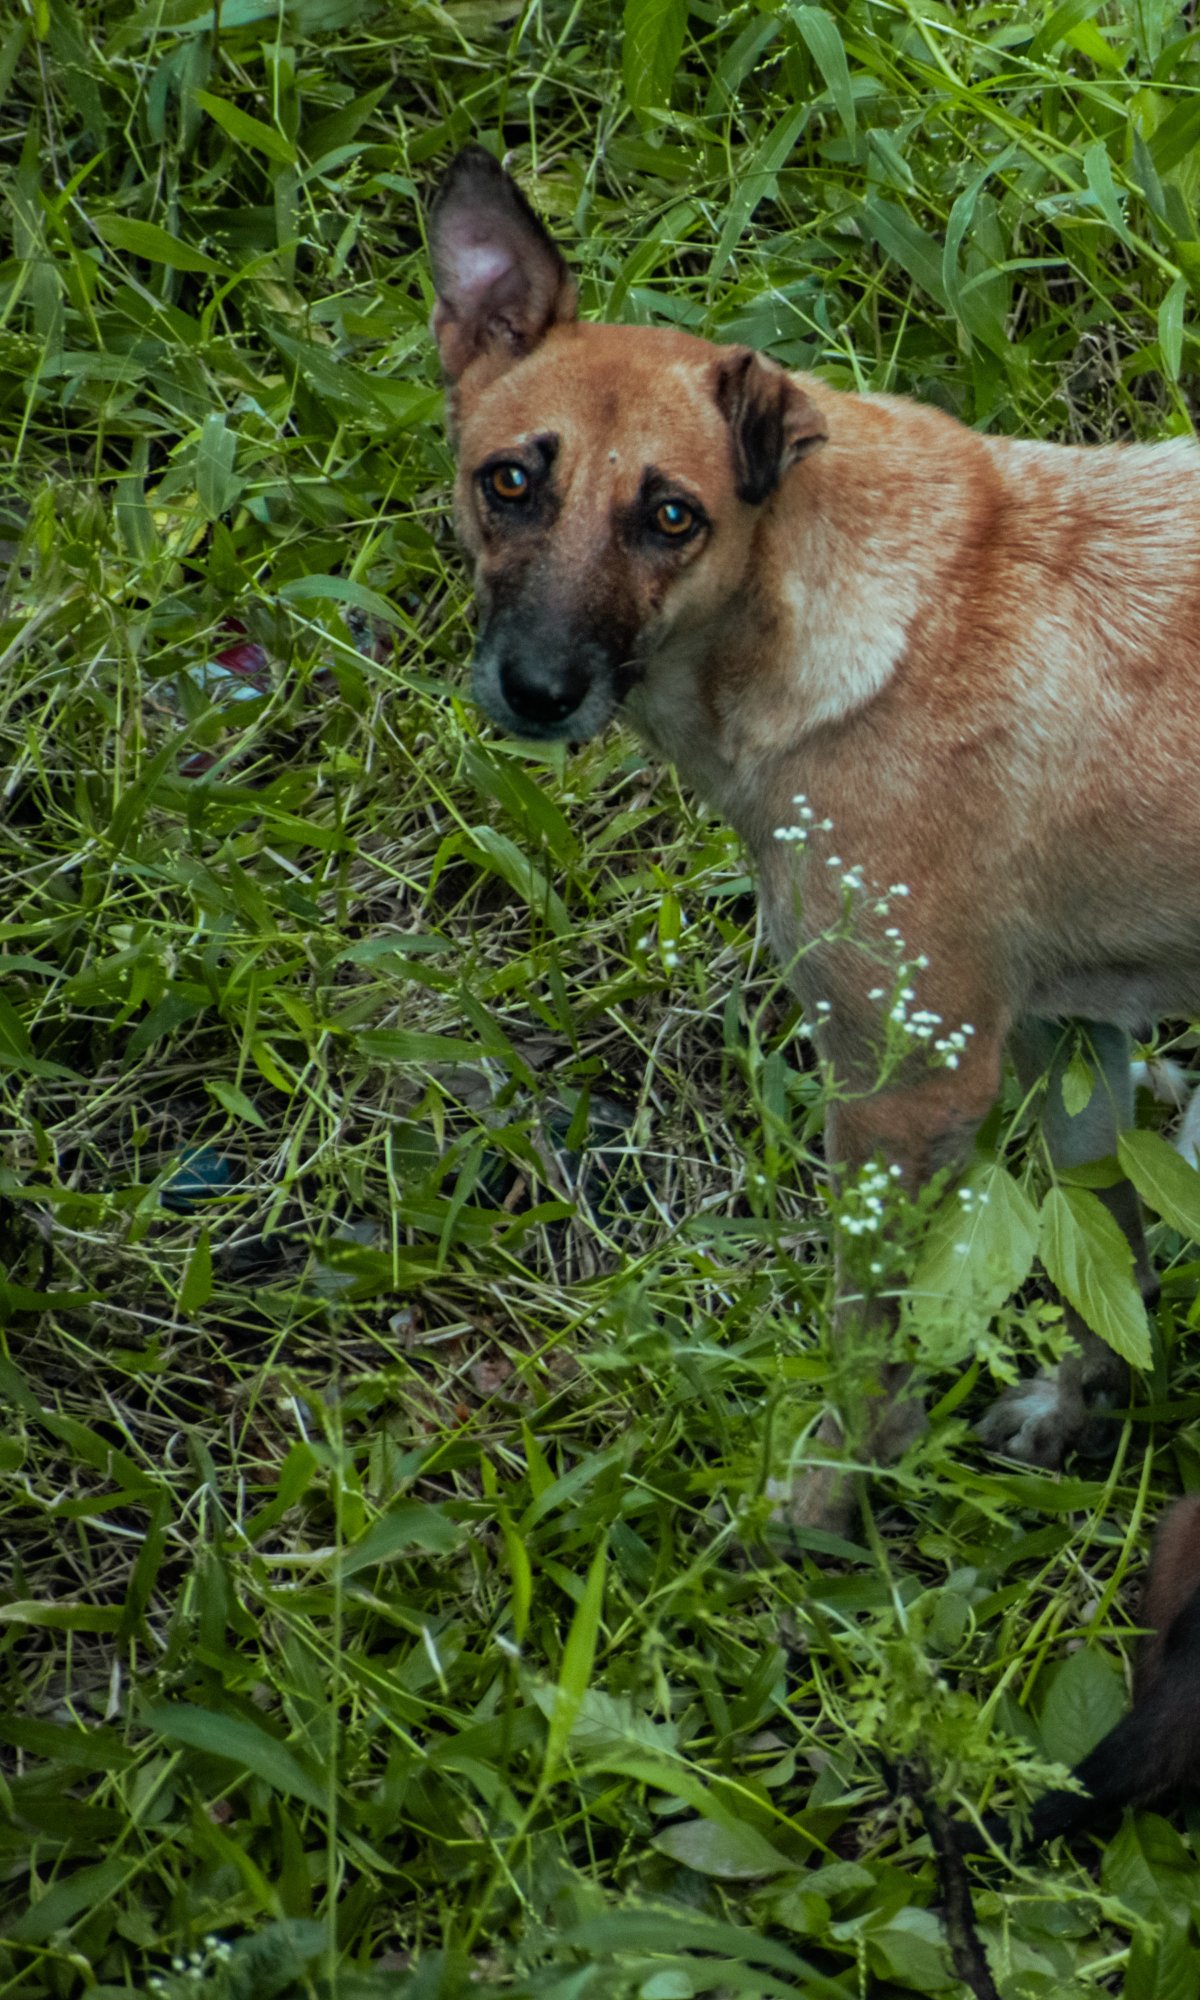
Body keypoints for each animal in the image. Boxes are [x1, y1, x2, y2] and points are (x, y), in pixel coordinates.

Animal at [427, 145, 1200, 1532]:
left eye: (670, 516)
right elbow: (1108, 1264)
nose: (538, 690)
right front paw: (1083, 1411)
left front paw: (831, 1497)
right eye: (509, 480)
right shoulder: (1068, 1040)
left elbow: (864, 1338)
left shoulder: (911, 1087)